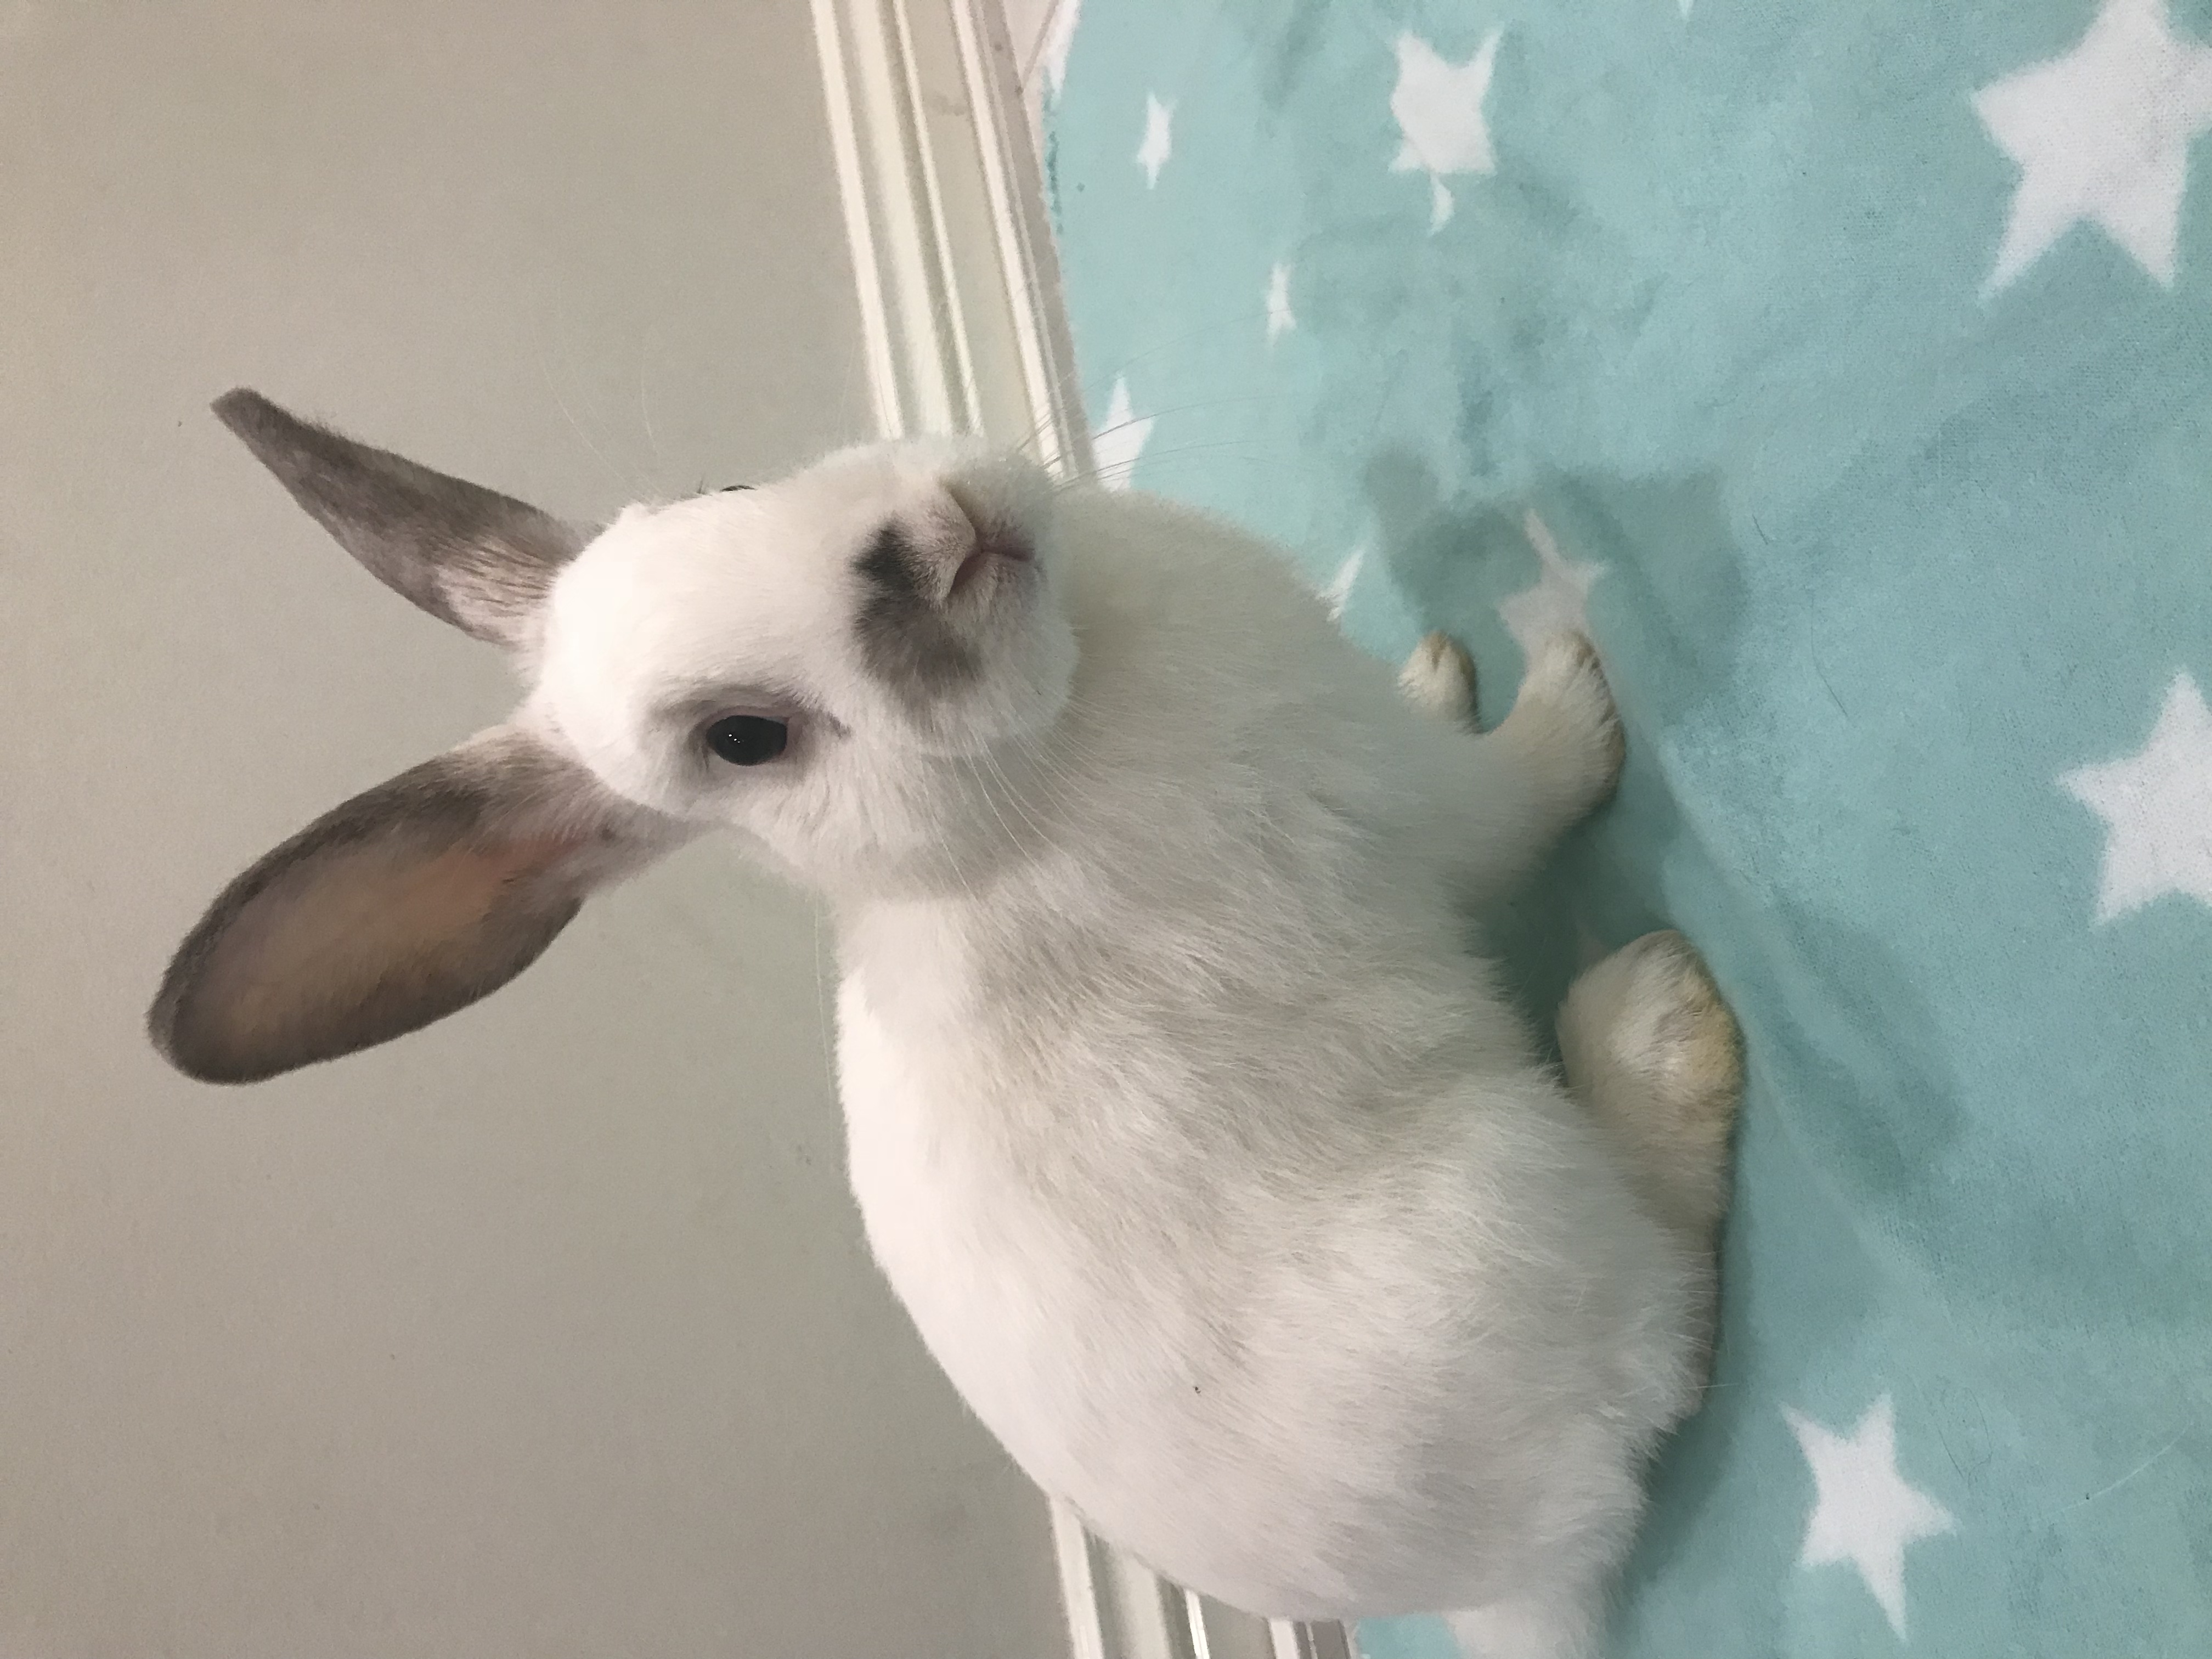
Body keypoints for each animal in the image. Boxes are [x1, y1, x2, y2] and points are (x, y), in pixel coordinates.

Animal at [150, 389, 1742, 1659]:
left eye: (721, 491)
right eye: (745, 740)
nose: (927, 544)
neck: (1028, 768)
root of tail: (1502, 1585)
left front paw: (1441, 665)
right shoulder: (1401, 795)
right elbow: (1522, 793)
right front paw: (1568, 686)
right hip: (1522, 1205)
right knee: (1674, 1307)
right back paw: (1660, 1029)